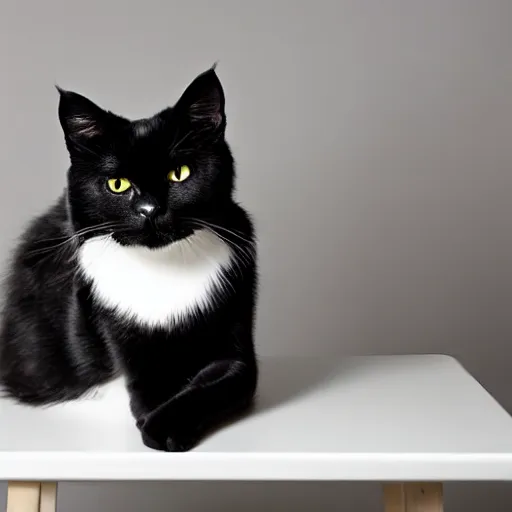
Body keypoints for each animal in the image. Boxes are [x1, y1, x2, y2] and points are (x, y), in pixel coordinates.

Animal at [0, 67, 258, 452]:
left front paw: (166, 424)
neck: (163, 268)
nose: (150, 210)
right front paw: (155, 418)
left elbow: (225, 380)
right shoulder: (117, 331)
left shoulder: (238, 336)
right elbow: (148, 384)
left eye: (179, 173)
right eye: (118, 184)